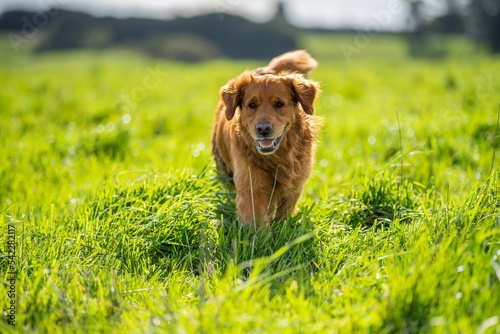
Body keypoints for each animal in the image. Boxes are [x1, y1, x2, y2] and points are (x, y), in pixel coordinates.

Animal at [211, 49, 320, 227]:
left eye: (279, 104)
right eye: (252, 105)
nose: (263, 129)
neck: (277, 157)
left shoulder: (295, 184)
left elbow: (283, 214)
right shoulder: (251, 186)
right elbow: (257, 222)